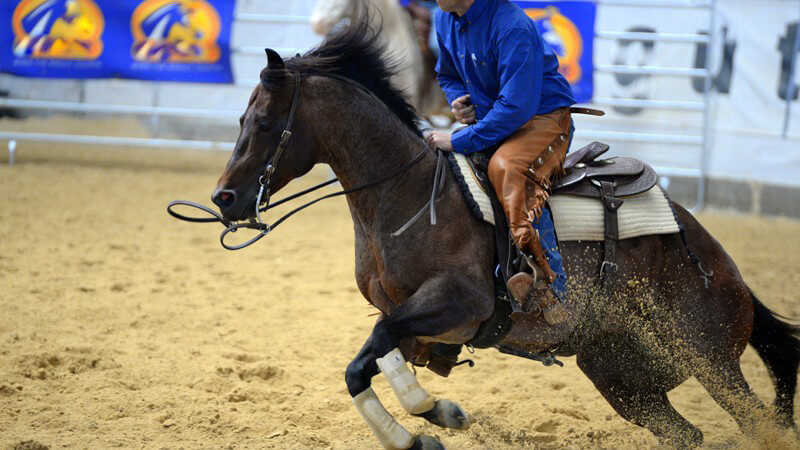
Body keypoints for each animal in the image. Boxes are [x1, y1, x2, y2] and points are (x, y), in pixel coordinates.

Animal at [209, 23, 796, 450]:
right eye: (239, 118)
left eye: (264, 123)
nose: (224, 199)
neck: (408, 192)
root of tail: (719, 261)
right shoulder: (407, 319)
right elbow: (368, 361)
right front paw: (427, 425)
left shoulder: (458, 302)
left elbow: (370, 352)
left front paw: (432, 415)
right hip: (622, 377)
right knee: (685, 433)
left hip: (710, 359)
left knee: (755, 421)